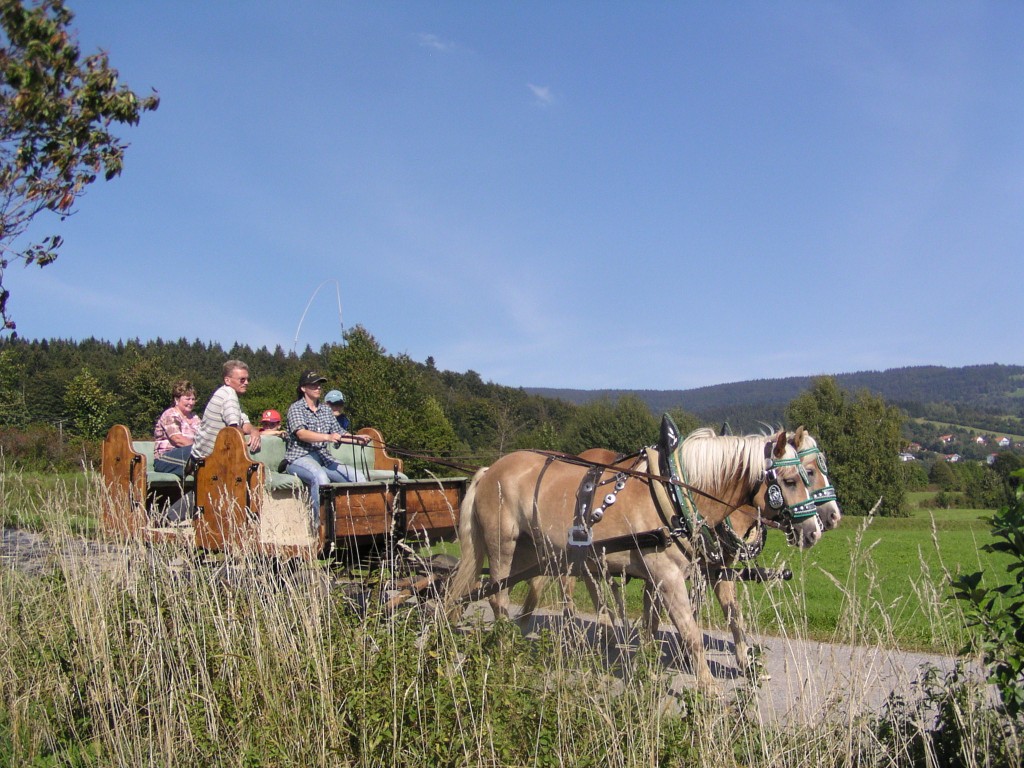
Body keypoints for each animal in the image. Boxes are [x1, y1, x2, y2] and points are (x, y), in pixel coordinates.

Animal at [444, 423, 819, 696]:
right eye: (791, 480)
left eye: (808, 474)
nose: (816, 529)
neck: (677, 494)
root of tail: (490, 469)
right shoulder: (668, 577)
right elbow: (691, 632)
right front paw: (708, 686)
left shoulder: (674, 575)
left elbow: (660, 625)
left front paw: (648, 669)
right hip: (503, 546)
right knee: (498, 595)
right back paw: (506, 645)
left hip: (533, 550)